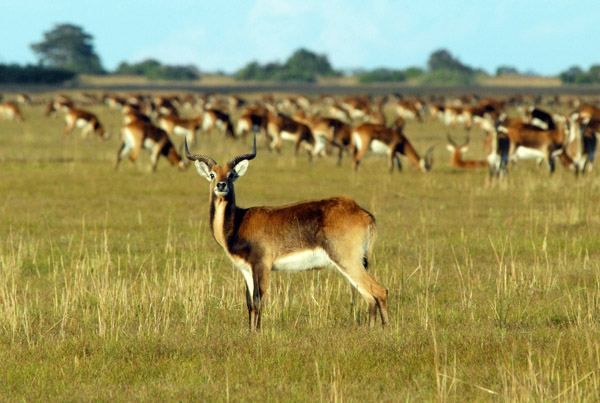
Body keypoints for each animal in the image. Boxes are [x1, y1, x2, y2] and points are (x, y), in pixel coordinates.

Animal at [183, 137, 390, 330]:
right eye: (212, 174)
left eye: (231, 174)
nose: (221, 185)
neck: (238, 222)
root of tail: (363, 213)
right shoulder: (246, 269)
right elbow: (249, 302)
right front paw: (250, 332)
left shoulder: (262, 265)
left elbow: (258, 299)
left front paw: (257, 333)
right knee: (369, 296)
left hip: (348, 261)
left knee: (379, 291)